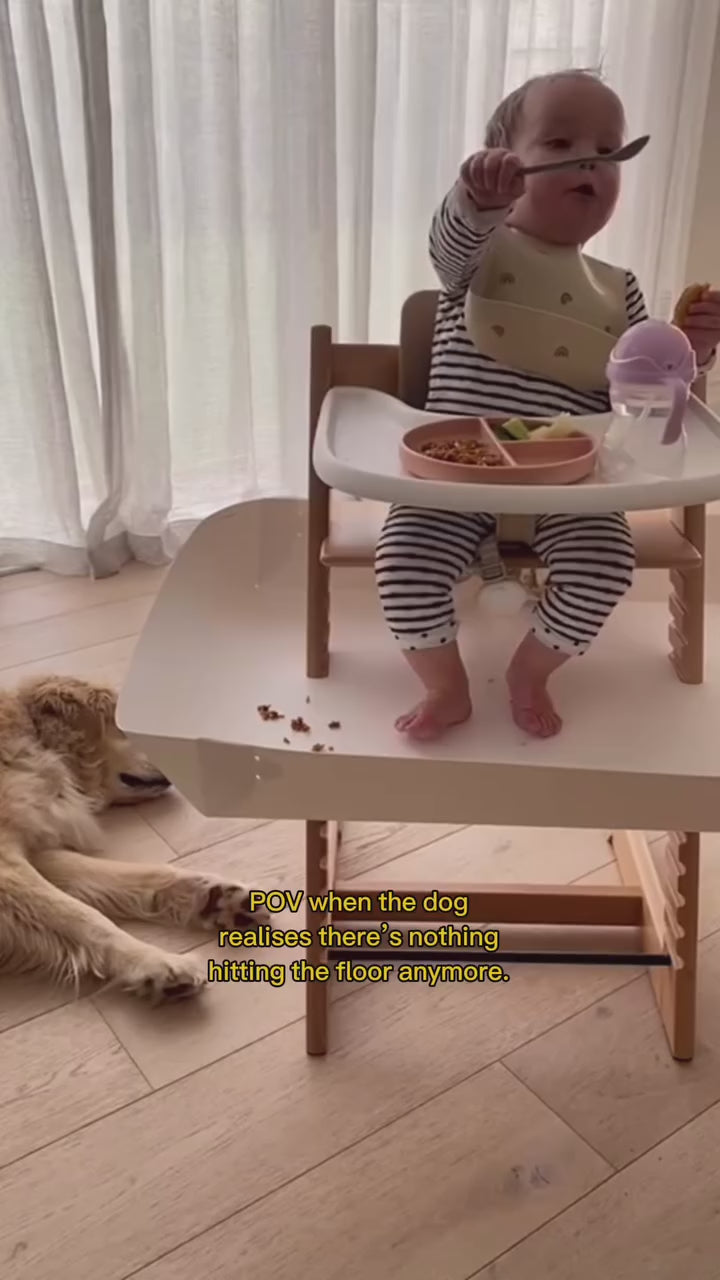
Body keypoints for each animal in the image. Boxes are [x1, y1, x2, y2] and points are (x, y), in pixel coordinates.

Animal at [0, 670, 266, 998]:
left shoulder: (34, 850)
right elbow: (85, 917)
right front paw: (156, 963)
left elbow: (131, 875)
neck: (36, 736)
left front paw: (214, 897)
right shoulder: (7, 865)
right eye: (124, 729)